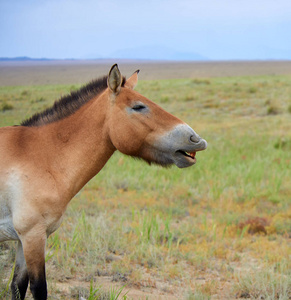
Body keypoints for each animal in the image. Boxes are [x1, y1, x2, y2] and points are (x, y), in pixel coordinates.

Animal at [0, 64, 208, 298]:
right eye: (138, 107)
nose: (196, 140)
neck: (40, 158)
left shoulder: (23, 240)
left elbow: (17, 286)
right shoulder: (32, 236)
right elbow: (38, 288)